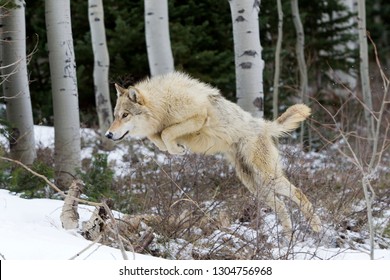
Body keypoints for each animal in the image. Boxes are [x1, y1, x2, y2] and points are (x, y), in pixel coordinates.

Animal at [105, 71, 322, 233]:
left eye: (125, 115)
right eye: (115, 116)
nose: (108, 134)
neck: (163, 104)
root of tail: (264, 125)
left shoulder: (199, 118)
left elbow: (167, 133)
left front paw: (178, 149)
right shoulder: (156, 132)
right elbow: (160, 140)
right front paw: (176, 149)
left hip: (268, 178)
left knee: (298, 193)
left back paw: (316, 227)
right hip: (255, 186)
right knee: (283, 207)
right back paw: (286, 238)